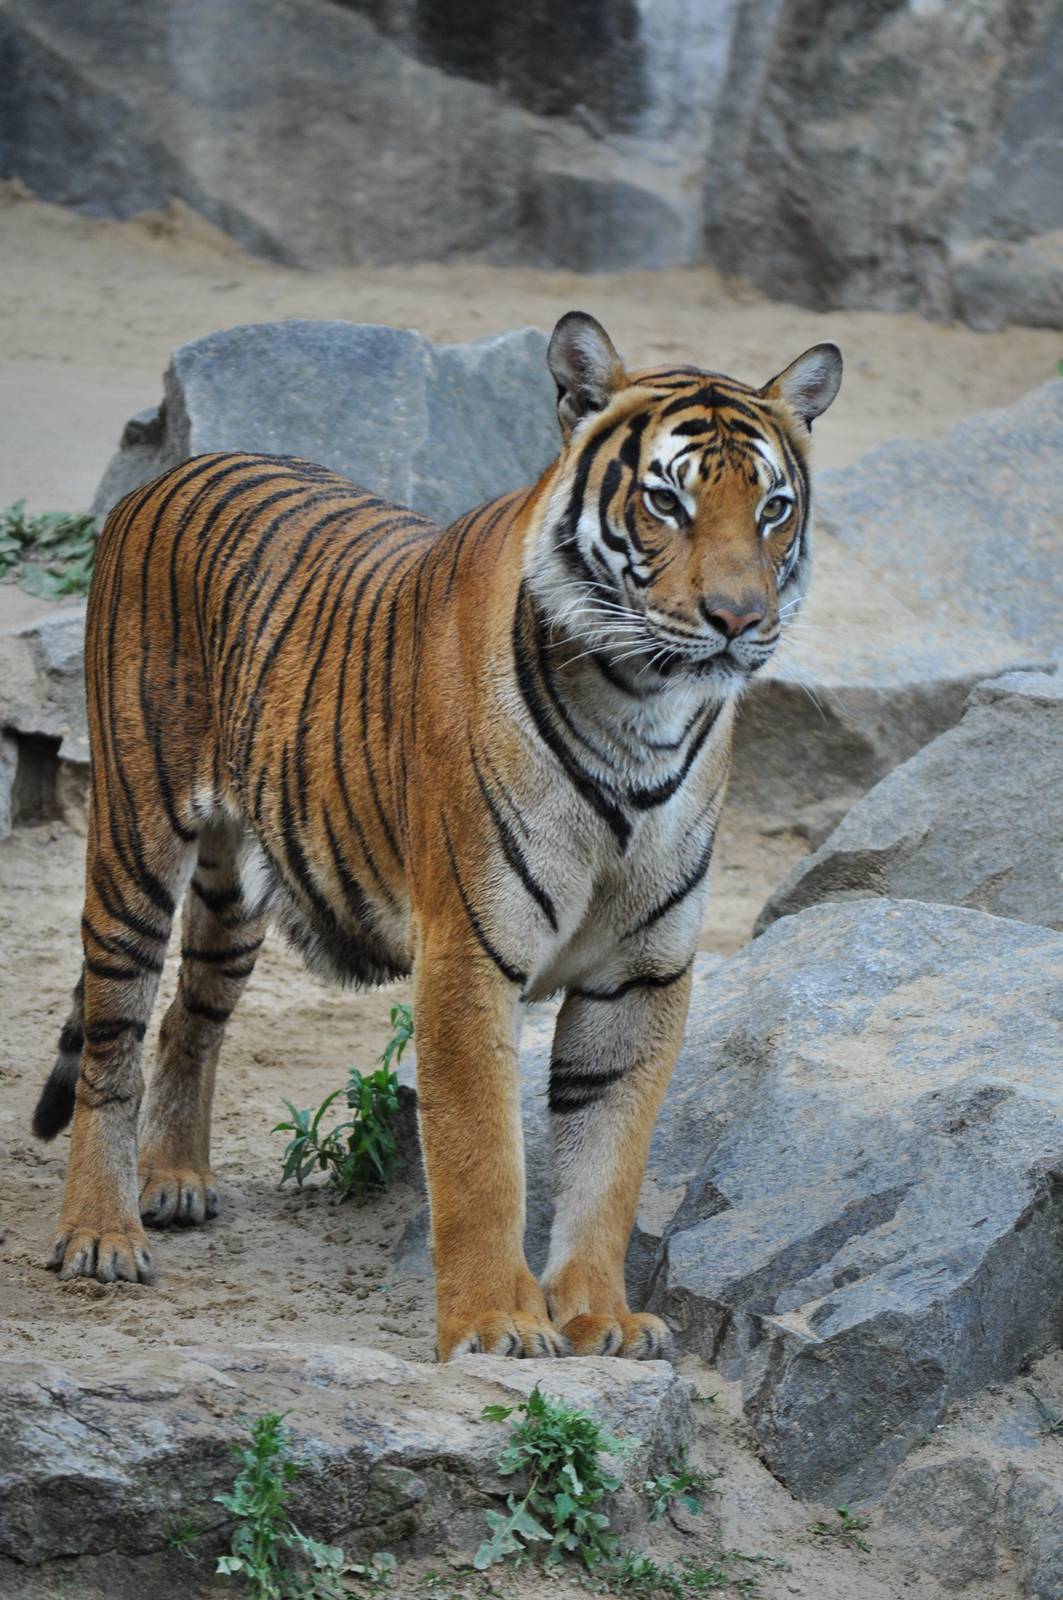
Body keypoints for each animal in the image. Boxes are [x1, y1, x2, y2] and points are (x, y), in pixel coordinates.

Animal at [31, 311, 841, 1361]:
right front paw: (497, 1323)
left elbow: (608, 1159)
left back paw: (173, 1180)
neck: (643, 712)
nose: (738, 621)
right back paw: (101, 1233)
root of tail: (173, 472)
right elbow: (481, 1155)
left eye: (774, 508)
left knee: (187, 1015)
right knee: (112, 1034)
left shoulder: (644, 971)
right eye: (666, 501)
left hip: (238, 879)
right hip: (135, 837)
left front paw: (602, 1318)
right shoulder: (468, 950)